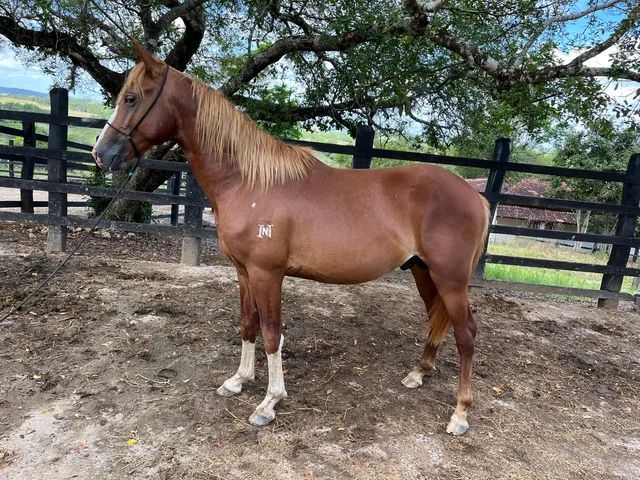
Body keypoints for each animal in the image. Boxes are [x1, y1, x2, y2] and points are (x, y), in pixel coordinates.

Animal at [92, 43, 488, 436]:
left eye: (131, 98)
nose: (101, 154)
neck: (249, 181)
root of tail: (475, 196)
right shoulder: (244, 272)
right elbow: (248, 325)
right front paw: (238, 380)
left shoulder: (267, 274)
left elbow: (271, 334)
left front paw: (269, 402)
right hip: (423, 271)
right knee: (437, 319)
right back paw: (418, 374)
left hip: (450, 280)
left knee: (466, 333)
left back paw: (460, 414)